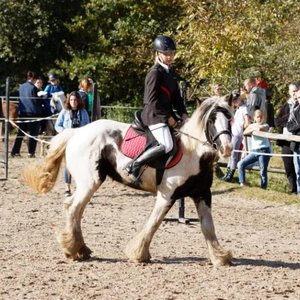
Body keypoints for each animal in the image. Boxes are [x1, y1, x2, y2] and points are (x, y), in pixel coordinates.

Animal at [22, 96, 234, 268]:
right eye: (211, 120)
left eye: (230, 119)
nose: (228, 148)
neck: (193, 153)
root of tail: (77, 132)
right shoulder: (166, 195)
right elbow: (154, 223)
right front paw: (139, 254)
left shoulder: (202, 194)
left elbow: (208, 226)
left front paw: (219, 257)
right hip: (90, 182)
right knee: (73, 207)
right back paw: (74, 249)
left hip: (87, 184)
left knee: (75, 209)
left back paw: (80, 248)